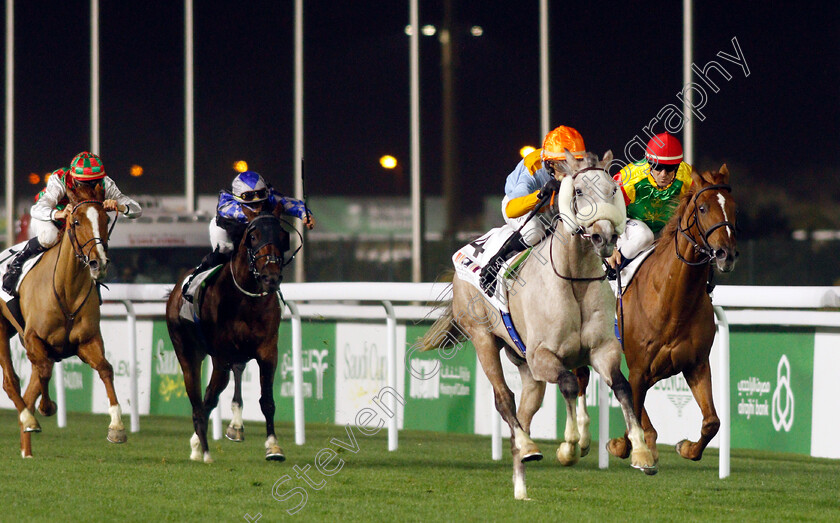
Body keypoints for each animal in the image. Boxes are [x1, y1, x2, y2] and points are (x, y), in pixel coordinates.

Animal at [0, 184, 124, 458]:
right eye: (76, 221)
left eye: (105, 219)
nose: (98, 263)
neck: (67, 289)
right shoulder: (34, 338)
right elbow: (45, 372)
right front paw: (46, 408)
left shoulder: (86, 341)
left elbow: (106, 369)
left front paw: (117, 427)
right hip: (2, 330)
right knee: (11, 381)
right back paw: (28, 419)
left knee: (28, 389)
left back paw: (27, 450)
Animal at [166, 209, 290, 462]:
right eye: (253, 237)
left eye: (283, 237)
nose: (271, 278)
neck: (246, 300)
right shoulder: (223, 354)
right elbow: (210, 396)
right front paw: (204, 447)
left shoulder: (267, 350)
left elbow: (267, 400)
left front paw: (273, 446)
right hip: (187, 351)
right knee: (199, 399)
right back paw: (203, 449)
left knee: (211, 396)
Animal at [584, 166, 736, 464]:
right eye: (702, 208)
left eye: (733, 207)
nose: (726, 254)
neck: (673, 303)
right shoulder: (639, 367)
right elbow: (631, 409)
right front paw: (622, 445)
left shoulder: (696, 364)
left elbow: (712, 422)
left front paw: (687, 448)